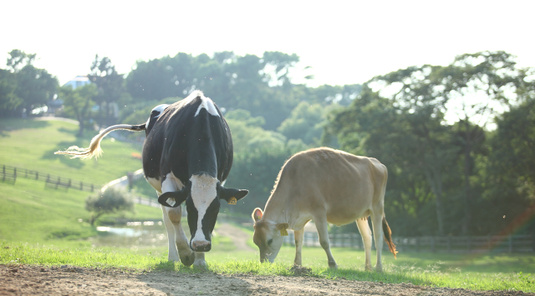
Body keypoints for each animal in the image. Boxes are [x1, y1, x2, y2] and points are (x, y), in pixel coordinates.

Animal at [57, 90, 250, 266]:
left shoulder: (219, 180)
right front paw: (186, 254)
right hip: (159, 189)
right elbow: (174, 215)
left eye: (216, 208)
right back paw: (173, 257)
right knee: (167, 218)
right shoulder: (167, 179)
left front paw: (200, 260)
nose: (201, 244)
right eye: (190, 206)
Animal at [252, 147, 398, 272]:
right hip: (361, 213)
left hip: (377, 207)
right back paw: (367, 268)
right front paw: (297, 265)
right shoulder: (299, 218)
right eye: (255, 242)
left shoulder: (319, 212)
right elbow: (298, 242)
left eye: (269, 240)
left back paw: (378, 268)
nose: (264, 263)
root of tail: (377, 163)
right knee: (367, 238)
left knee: (379, 238)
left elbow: (324, 241)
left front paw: (332, 264)